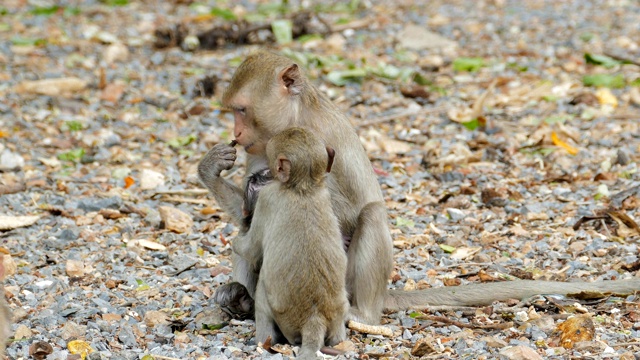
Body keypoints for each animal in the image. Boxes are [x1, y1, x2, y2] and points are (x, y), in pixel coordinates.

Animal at [199, 50, 640, 324]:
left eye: (241, 111)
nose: (237, 133)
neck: (291, 118)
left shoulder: (314, 136)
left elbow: (337, 207)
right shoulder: (262, 149)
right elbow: (247, 213)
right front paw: (211, 169)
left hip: (344, 284)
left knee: (371, 216)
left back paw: (360, 315)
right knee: (248, 231)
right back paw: (240, 299)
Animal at [232, 128, 348, 358]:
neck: (303, 188)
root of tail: (315, 319)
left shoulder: (268, 198)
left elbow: (251, 249)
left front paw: (235, 242)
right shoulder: (325, 193)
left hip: (285, 318)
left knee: (262, 293)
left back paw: (262, 342)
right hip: (337, 313)